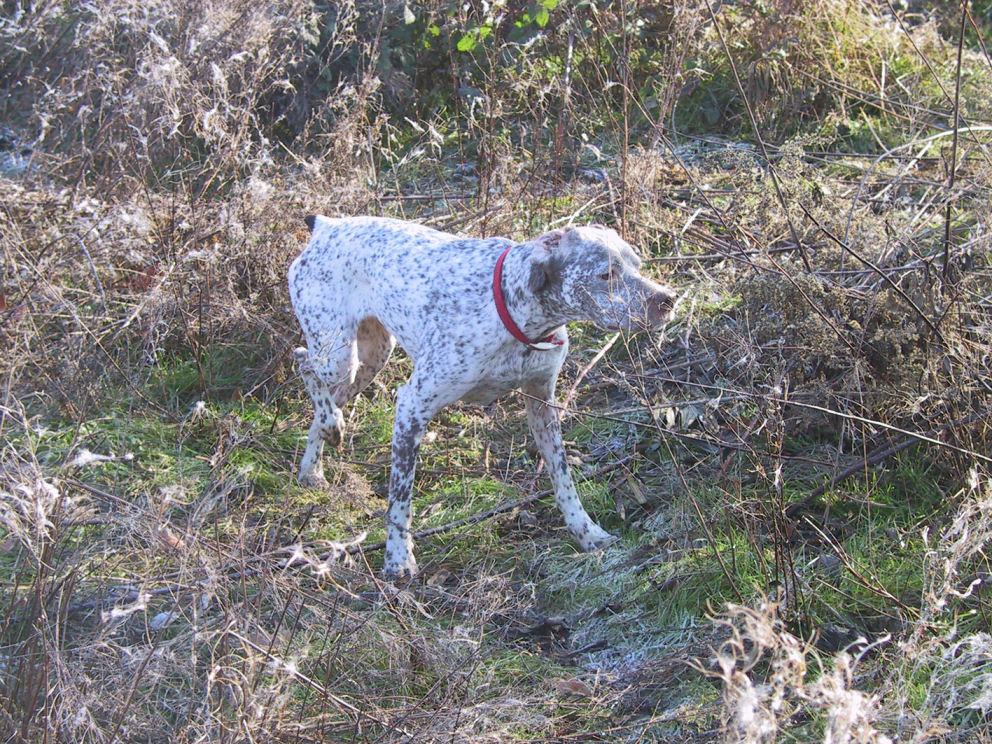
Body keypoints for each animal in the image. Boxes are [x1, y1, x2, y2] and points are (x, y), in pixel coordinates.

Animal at [286, 217, 676, 580]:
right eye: (606, 274)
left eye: (637, 264)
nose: (667, 300)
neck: (515, 311)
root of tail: (326, 225)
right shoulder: (413, 405)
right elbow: (399, 499)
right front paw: (397, 559)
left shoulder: (542, 403)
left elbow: (564, 480)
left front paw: (588, 533)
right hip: (337, 356)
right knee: (303, 362)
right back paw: (330, 425)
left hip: (372, 357)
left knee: (324, 399)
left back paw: (313, 466)